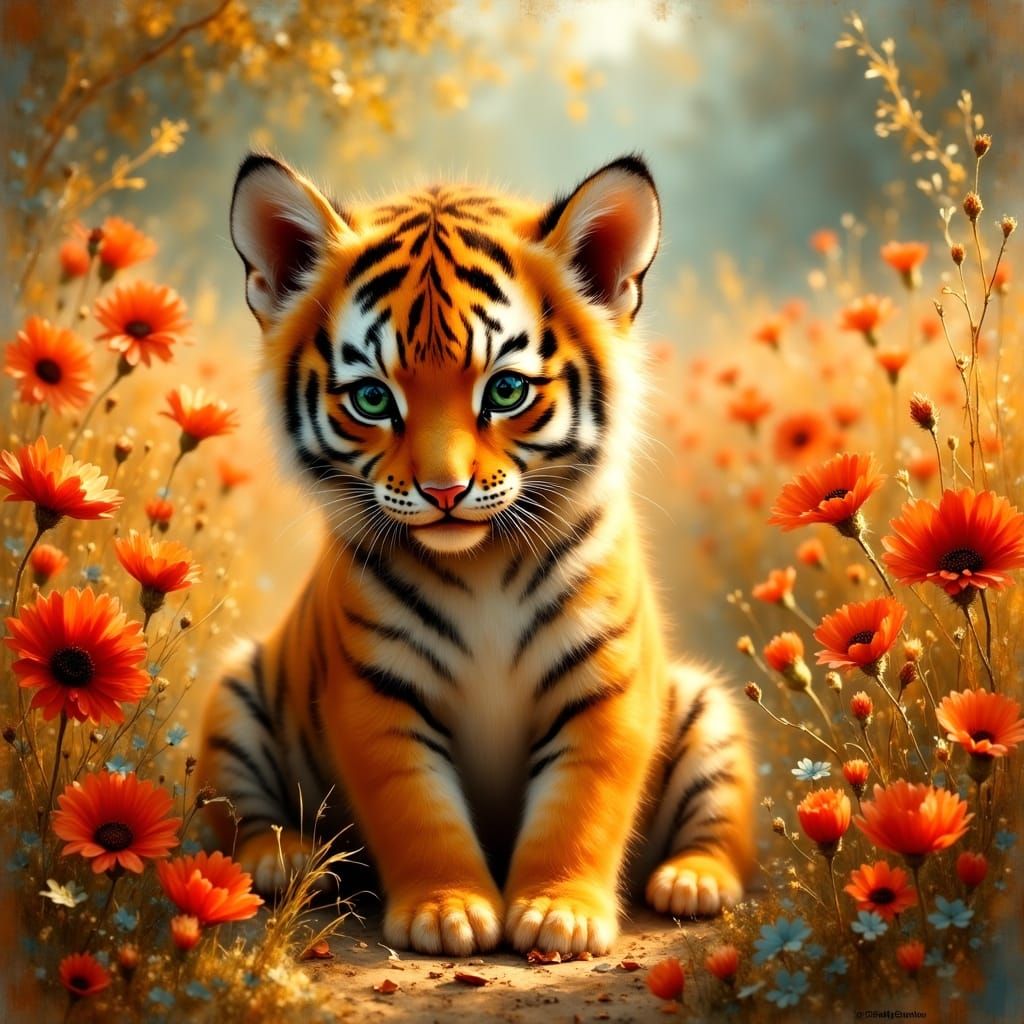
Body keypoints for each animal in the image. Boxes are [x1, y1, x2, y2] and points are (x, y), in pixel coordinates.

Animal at [197, 151, 755, 957]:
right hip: (237, 697)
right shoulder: (375, 691)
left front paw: (559, 913)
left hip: (708, 713)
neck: (481, 563)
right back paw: (283, 857)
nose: (444, 490)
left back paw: (693, 880)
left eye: (508, 389)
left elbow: (583, 800)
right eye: (372, 399)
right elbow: (416, 807)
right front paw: (447, 911)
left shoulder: (605, 682)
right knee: (237, 812)